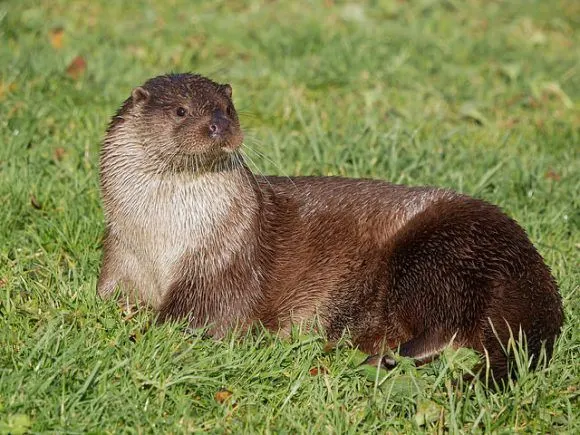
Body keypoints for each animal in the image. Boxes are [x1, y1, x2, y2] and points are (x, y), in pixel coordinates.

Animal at [98, 73, 560, 384]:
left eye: (226, 109)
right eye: (181, 110)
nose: (218, 126)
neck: (163, 240)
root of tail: (525, 262)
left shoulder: (224, 265)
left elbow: (198, 317)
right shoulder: (120, 254)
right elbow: (107, 296)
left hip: (437, 252)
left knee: (448, 326)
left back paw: (379, 360)